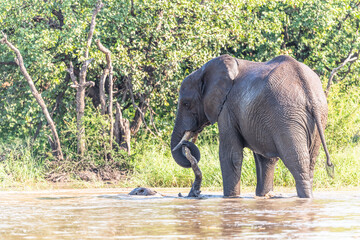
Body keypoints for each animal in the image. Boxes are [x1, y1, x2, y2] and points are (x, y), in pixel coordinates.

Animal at [170, 54, 334, 199]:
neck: (203, 71)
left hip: (287, 114)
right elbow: (265, 159)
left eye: (186, 104)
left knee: (296, 161)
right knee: (310, 161)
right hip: (318, 116)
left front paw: (231, 197)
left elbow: (230, 156)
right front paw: (263, 196)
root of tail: (306, 86)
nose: (186, 144)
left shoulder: (227, 108)